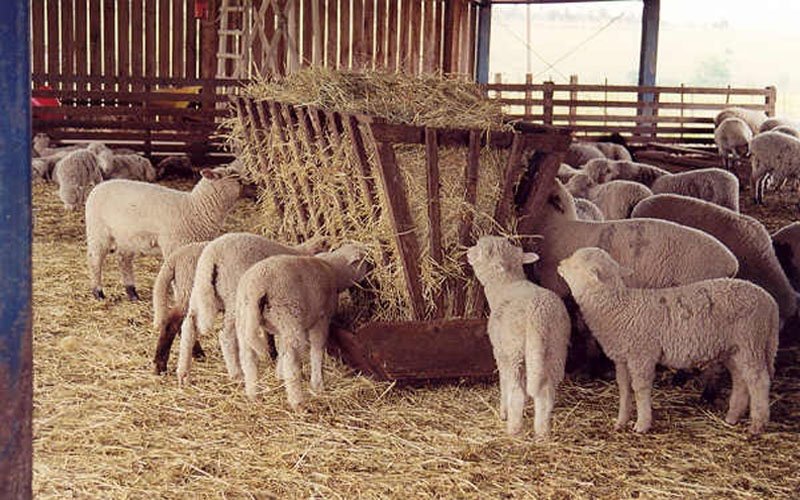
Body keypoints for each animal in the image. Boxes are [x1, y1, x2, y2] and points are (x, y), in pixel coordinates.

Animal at [84, 165, 244, 301]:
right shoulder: (173, 245)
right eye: (236, 178)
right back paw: (98, 293)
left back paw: (132, 293)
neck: (196, 208)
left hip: (126, 235)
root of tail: (98, 187)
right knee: (95, 260)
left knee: (124, 260)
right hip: (98, 231)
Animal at [174, 233, 329, 384]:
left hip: (198, 290)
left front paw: (273, 355)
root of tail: (212, 256)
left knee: (189, 326)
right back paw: (237, 374)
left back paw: (183, 373)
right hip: (234, 298)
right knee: (226, 336)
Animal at [234, 243, 371, 410]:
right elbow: (318, 348)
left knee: (248, 357)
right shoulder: (321, 320)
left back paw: (253, 394)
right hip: (288, 316)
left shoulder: (282, 329)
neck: (333, 271)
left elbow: (281, 348)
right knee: (291, 360)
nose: (372, 266)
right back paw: (297, 401)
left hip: (246, 320)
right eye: (365, 261)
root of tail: (256, 288)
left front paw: (279, 374)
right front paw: (317, 384)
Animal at [466, 236, 570, 438]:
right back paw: (542, 431)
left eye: (481, 249)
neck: (505, 284)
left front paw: (503, 412)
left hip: (515, 351)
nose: (467, 252)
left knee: (518, 393)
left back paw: (513, 428)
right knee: (546, 392)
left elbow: (504, 382)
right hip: (555, 350)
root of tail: (539, 315)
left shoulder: (501, 352)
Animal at [557, 247, 778, 435]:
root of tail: (769, 301)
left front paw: (642, 424)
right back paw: (732, 417)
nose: (559, 264)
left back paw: (757, 425)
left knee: (758, 381)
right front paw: (621, 421)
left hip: (750, 341)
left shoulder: (642, 354)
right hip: (733, 349)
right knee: (741, 380)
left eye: (576, 266)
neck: (618, 308)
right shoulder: (622, 357)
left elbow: (640, 388)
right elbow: (624, 388)